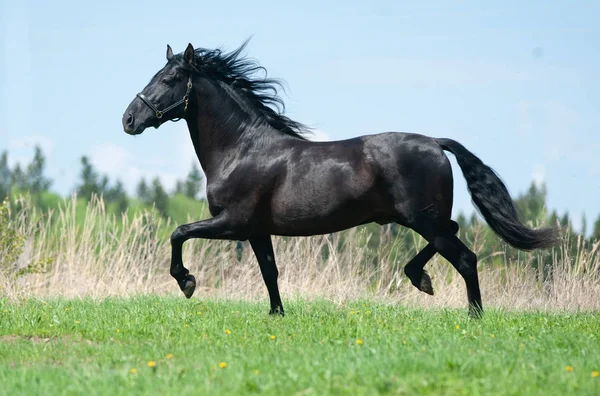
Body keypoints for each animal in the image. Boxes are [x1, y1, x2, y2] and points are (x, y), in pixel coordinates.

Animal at [122, 41, 556, 318]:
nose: (128, 119)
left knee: (465, 257)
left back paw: (472, 315)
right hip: (422, 218)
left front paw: (186, 281)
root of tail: (435, 142)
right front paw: (277, 315)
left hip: (421, 219)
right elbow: (269, 272)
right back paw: (421, 279)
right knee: (452, 235)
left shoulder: (232, 223)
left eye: (170, 79)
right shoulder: (258, 231)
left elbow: (178, 233)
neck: (242, 149)